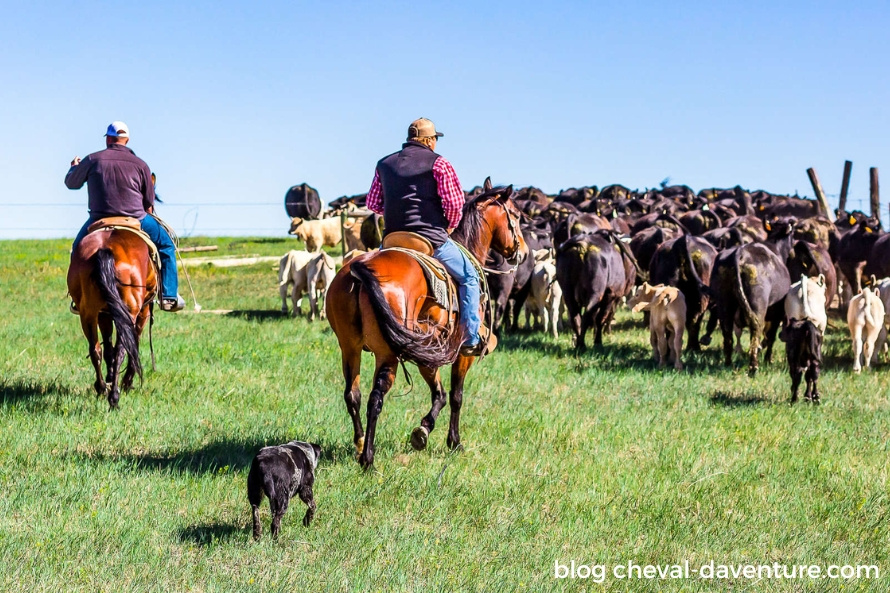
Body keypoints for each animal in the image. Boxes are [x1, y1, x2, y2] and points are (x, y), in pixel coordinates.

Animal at [67, 227, 157, 408]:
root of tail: (105, 249)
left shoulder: (104, 314)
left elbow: (108, 348)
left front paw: (109, 378)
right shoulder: (142, 312)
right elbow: (134, 344)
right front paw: (127, 381)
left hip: (88, 313)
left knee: (96, 349)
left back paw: (102, 387)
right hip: (130, 311)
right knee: (122, 349)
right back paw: (114, 396)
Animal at [326, 180, 528, 468]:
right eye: (516, 215)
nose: (523, 251)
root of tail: (360, 267)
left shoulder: (428, 351)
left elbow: (439, 393)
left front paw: (422, 431)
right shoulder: (461, 353)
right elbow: (455, 395)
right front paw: (453, 442)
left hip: (350, 347)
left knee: (352, 395)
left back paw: (360, 445)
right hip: (386, 353)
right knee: (375, 399)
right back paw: (368, 459)